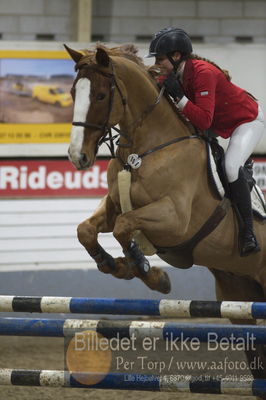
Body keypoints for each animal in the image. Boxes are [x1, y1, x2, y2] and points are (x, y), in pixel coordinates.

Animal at [65, 44, 266, 312]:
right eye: (73, 92)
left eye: (100, 96)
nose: (77, 156)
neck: (141, 153)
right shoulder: (114, 204)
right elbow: (85, 230)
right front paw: (113, 264)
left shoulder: (174, 219)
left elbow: (124, 226)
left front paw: (148, 272)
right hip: (236, 290)